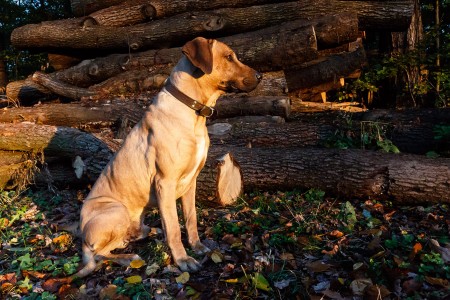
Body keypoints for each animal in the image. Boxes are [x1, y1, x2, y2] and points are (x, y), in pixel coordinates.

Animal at [75, 37, 262, 276]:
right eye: (229, 57)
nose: (260, 76)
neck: (193, 111)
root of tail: (82, 239)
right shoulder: (165, 182)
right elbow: (173, 227)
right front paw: (183, 260)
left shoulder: (191, 182)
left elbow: (191, 219)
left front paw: (197, 246)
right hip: (117, 210)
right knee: (100, 254)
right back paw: (128, 257)